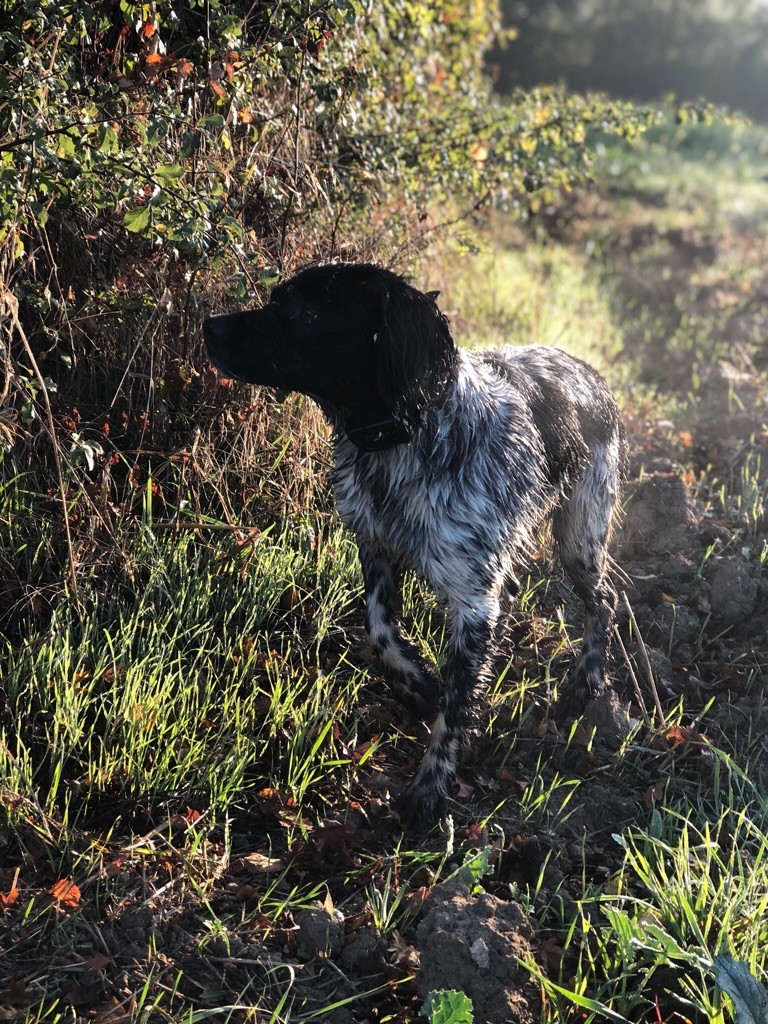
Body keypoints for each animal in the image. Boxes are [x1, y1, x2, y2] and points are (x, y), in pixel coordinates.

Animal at [202, 260, 626, 827]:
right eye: (276, 299)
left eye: (308, 313)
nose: (209, 326)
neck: (404, 439)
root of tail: (589, 372)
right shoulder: (376, 545)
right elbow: (379, 629)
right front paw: (418, 687)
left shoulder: (472, 597)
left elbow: (453, 711)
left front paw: (428, 787)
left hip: (580, 532)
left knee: (604, 600)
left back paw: (587, 683)